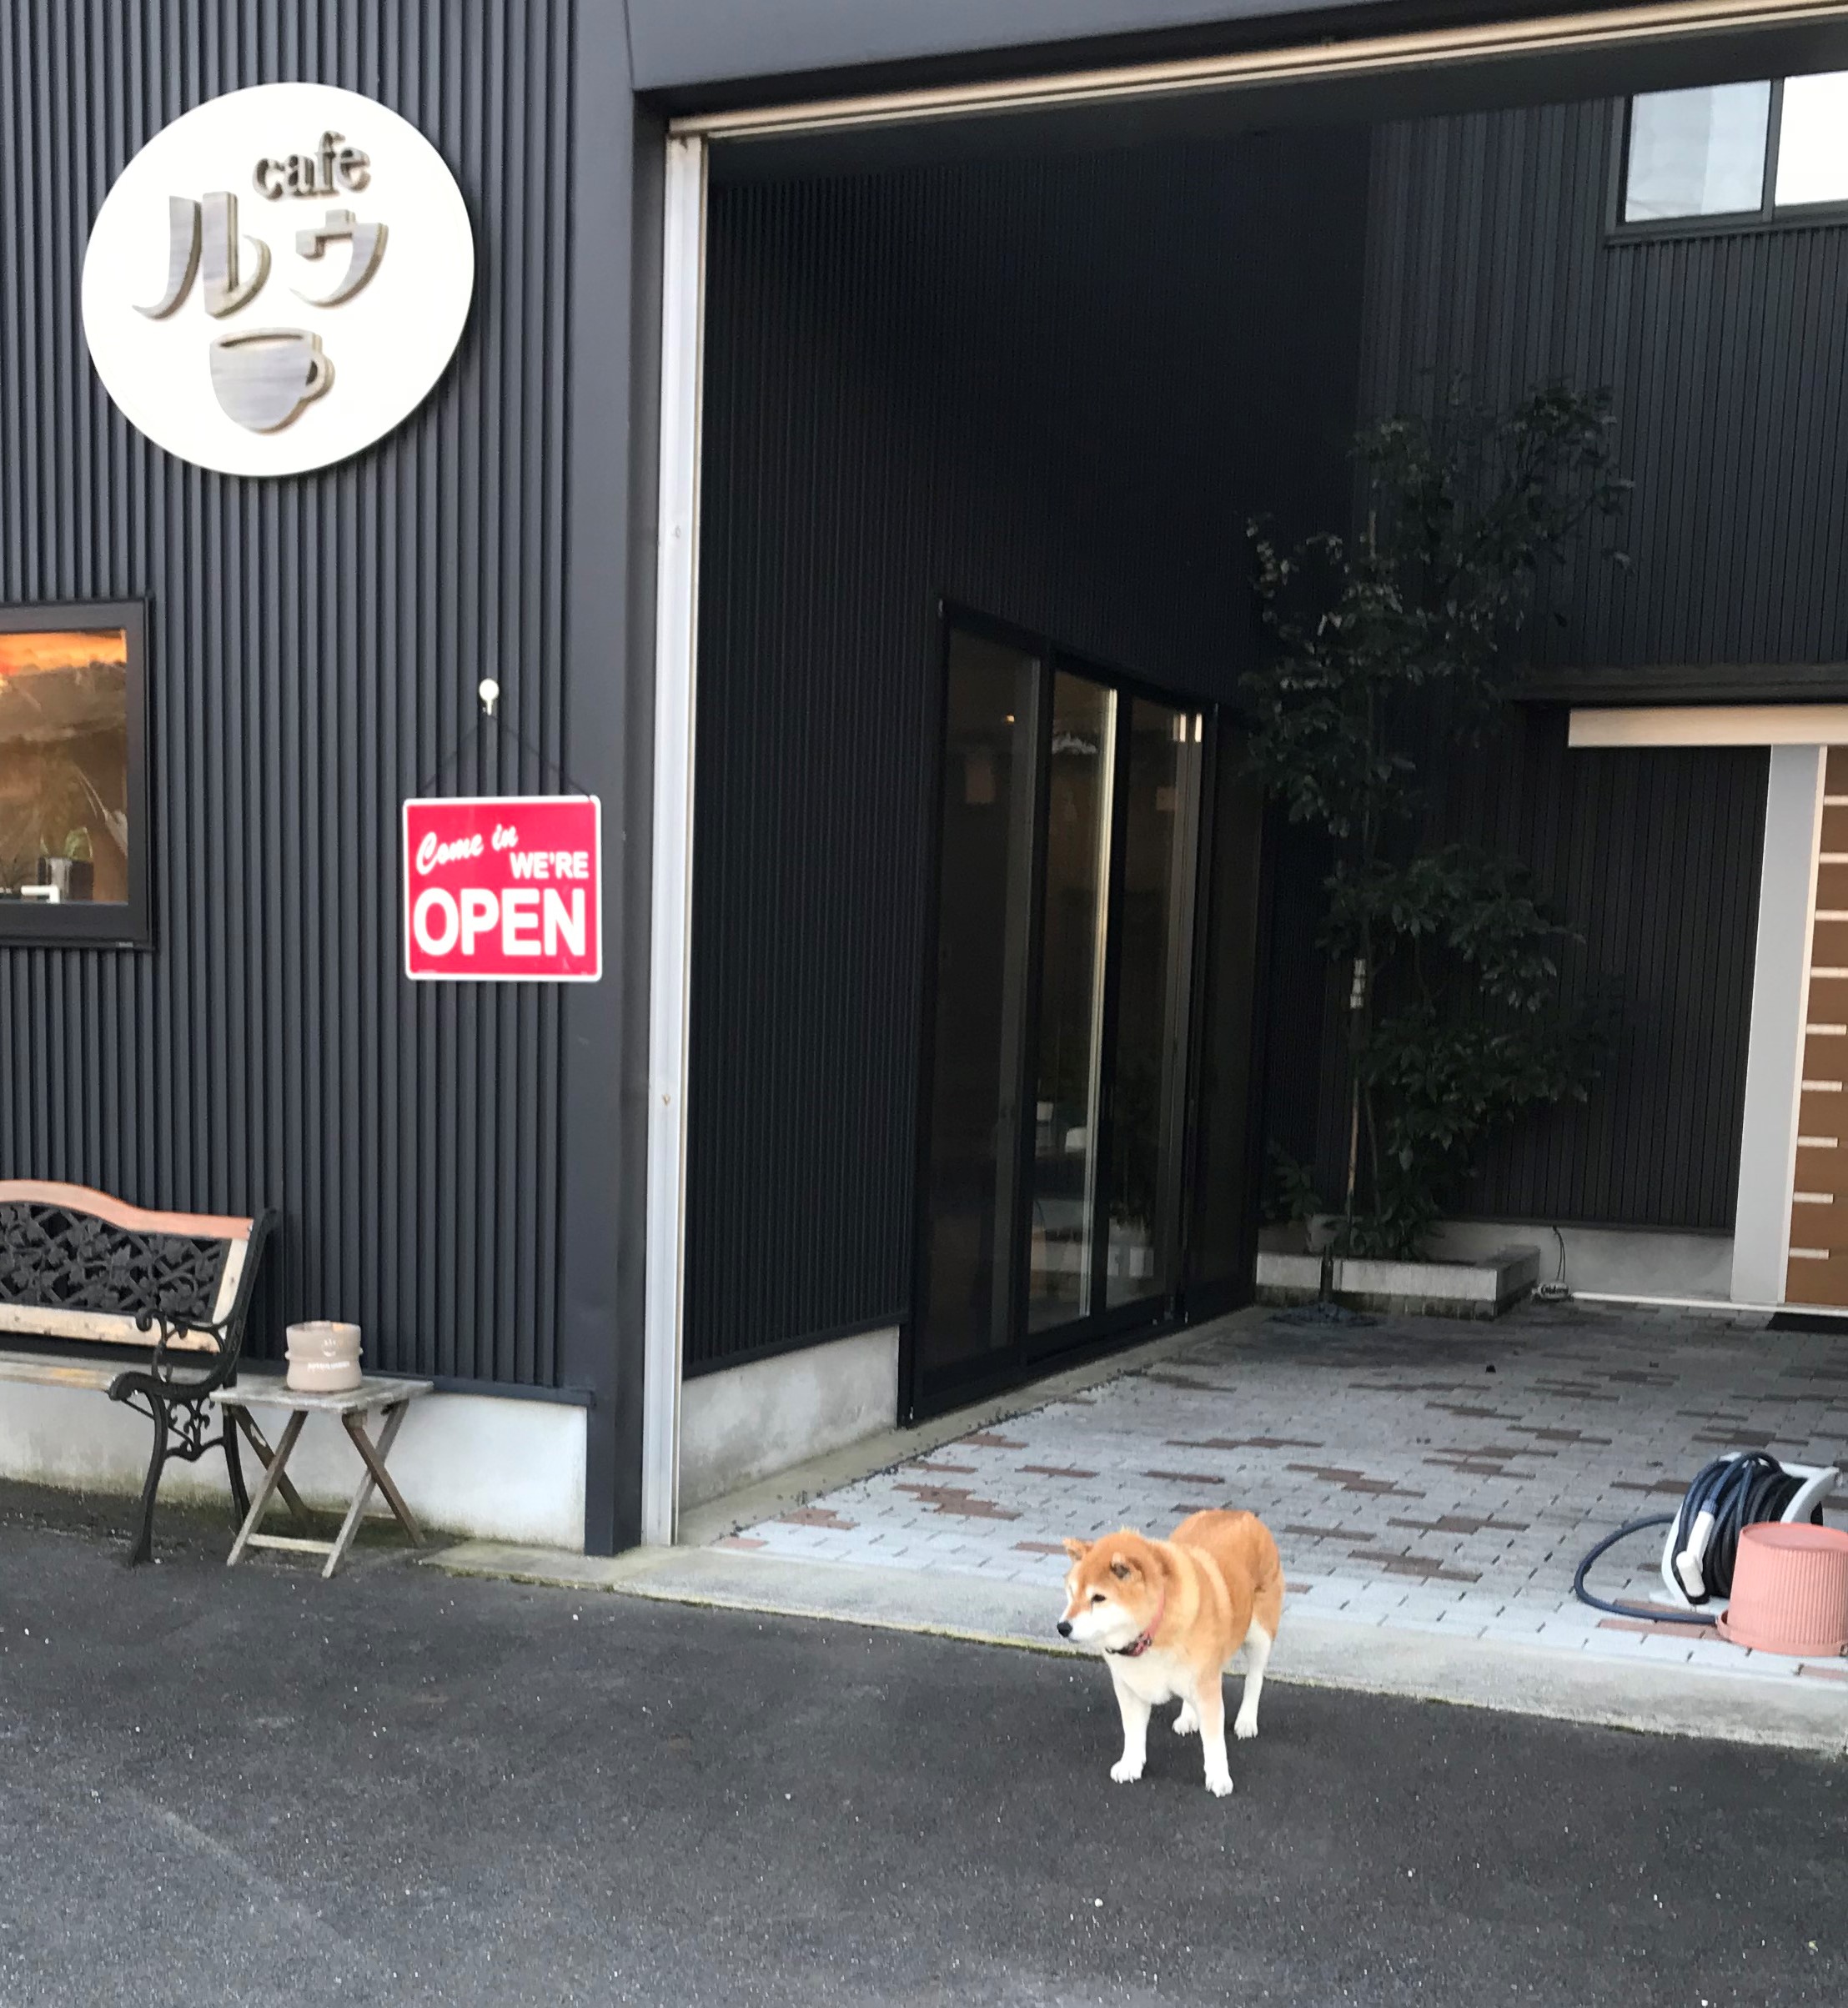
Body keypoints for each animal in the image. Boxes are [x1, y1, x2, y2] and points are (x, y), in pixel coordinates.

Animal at [1058, 1510, 1282, 1797]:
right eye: (1071, 1592)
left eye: (1098, 1598)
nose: (1062, 1627)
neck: (1150, 1634)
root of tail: (1239, 1512)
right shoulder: (1129, 1686)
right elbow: (1132, 1730)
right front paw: (1131, 1764)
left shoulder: (1207, 1687)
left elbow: (1214, 1741)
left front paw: (1219, 1777)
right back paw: (1188, 1717)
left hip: (1259, 1634)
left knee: (1255, 1677)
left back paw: (1246, 1720)